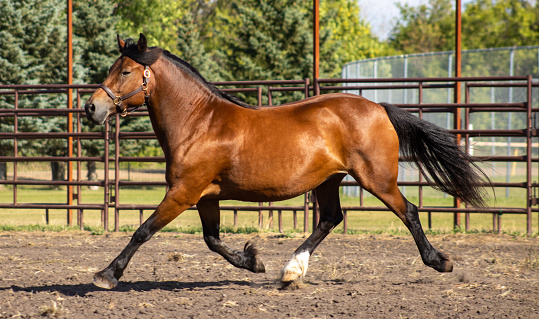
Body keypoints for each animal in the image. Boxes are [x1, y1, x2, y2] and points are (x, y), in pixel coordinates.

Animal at [83, 34, 490, 290]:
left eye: (125, 71)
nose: (91, 107)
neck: (199, 121)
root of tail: (378, 107)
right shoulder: (206, 196)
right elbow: (212, 239)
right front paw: (253, 261)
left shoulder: (183, 192)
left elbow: (142, 230)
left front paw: (107, 274)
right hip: (329, 180)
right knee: (330, 218)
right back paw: (291, 270)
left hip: (377, 179)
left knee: (409, 212)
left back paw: (440, 261)